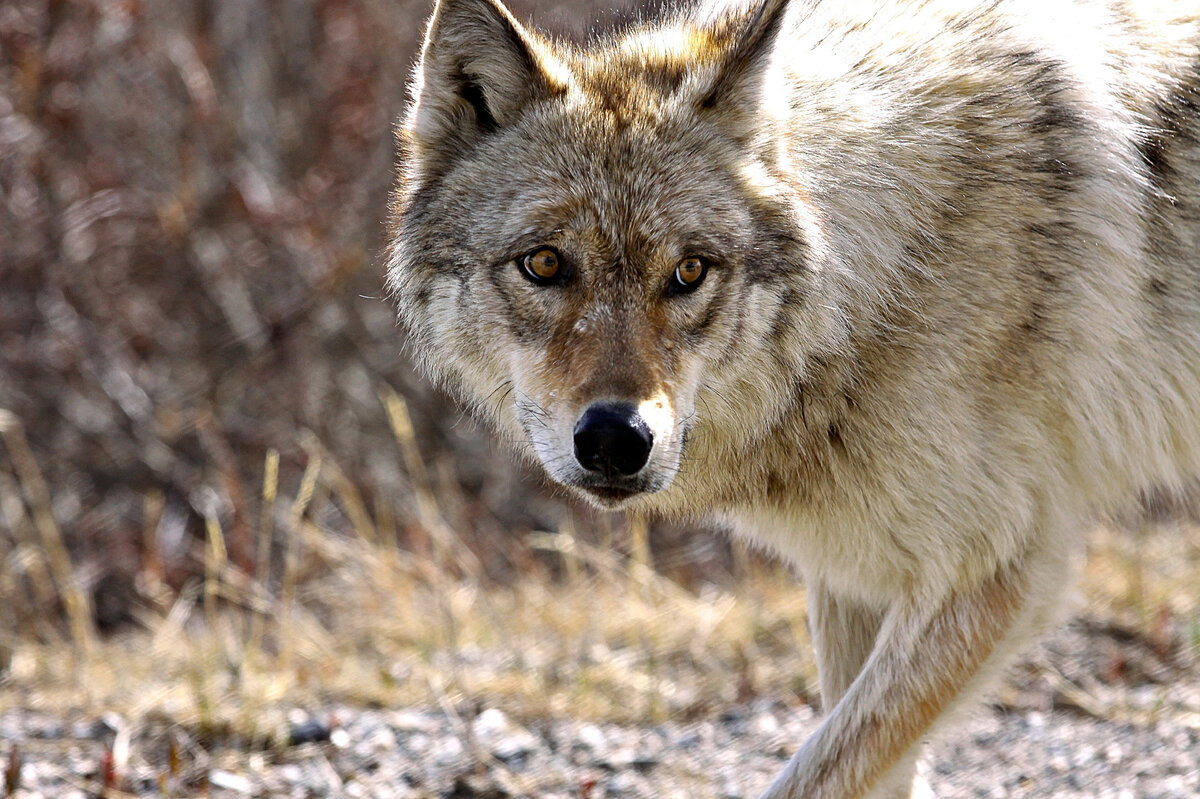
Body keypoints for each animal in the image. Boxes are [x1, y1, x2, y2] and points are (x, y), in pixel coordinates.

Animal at [388, 0, 1200, 791]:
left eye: (690, 271)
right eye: (546, 263)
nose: (617, 439)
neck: (878, 281)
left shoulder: (992, 574)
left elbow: (817, 775)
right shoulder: (856, 577)